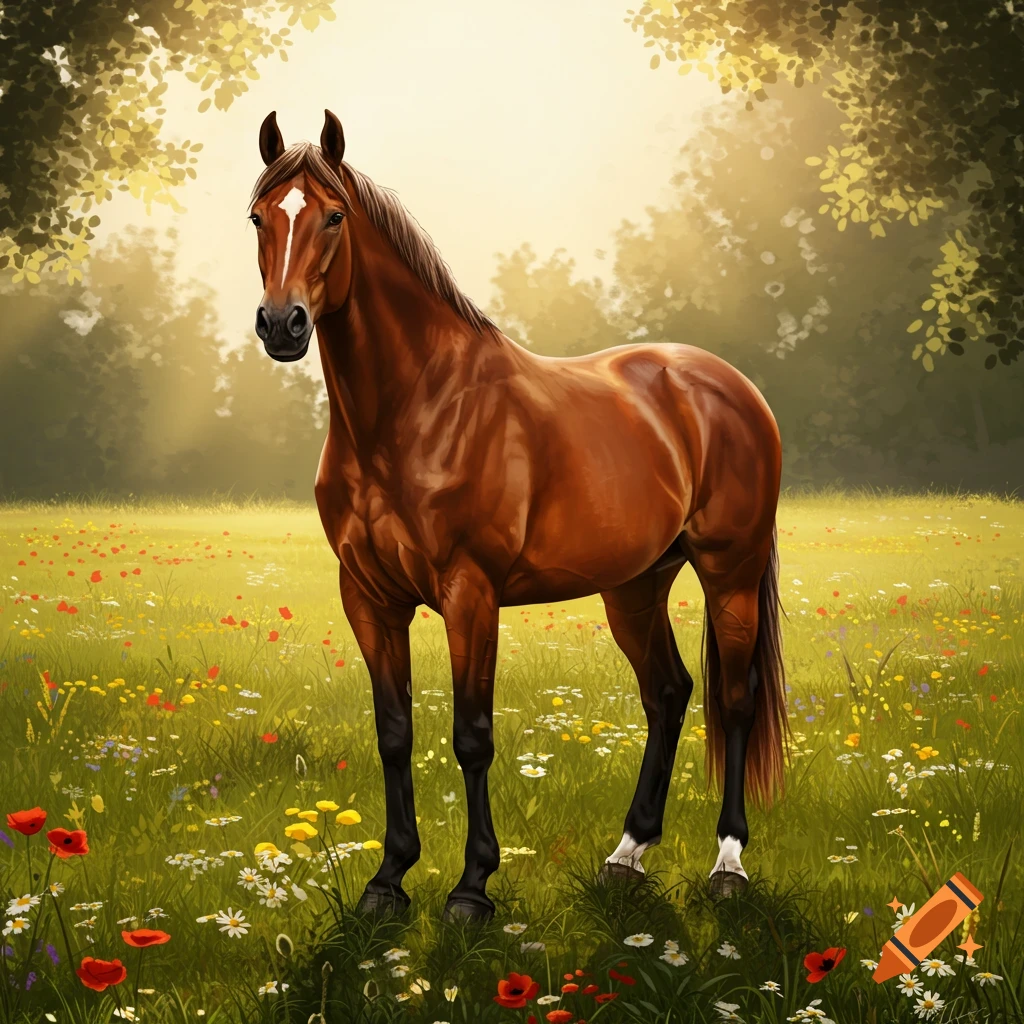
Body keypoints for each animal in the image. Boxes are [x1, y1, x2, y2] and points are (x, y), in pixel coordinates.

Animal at [248, 109, 789, 922]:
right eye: (258, 217)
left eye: (334, 217)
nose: (283, 325)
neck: (414, 409)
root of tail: (727, 384)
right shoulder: (369, 598)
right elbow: (393, 732)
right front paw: (388, 880)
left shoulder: (470, 594)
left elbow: (472, 735)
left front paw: (472, 888)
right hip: (635, 585)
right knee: (667, 694)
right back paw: (627, 854)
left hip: (731, 571)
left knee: (733, 700)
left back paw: (728, 864)